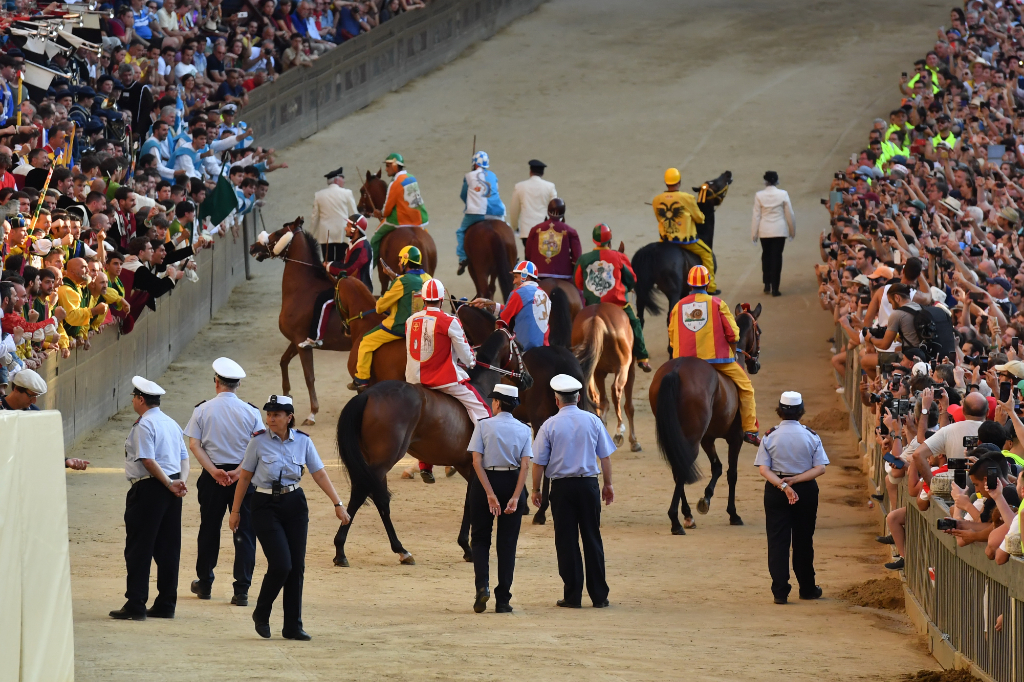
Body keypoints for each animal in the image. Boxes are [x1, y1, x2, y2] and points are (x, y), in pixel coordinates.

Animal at [250, 215, 352, 421]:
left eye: (278, 233)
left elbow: (309, 376)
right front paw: (286, 395)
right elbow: (283, 361)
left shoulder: (302, 343)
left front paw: (313, 412)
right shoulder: (297, 341)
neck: (303, 289)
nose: (253, 247)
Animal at [333, 323, 532, 561]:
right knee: (363, 493)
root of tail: (368, 394)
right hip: (384, 460)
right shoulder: (475, 465)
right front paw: (467, 547)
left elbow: (470, 501)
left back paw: (399, 550)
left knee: (378, 498)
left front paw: (465, 545)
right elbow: (472, 501)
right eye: (519, 346)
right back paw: (343, 549)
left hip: (373, 463)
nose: (528, 379)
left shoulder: (465, 465)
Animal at [573, 303, 634, 450]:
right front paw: (634, 441)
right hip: (622, 367)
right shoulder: (630, 368)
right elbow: (629, 405)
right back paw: (619, 431)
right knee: (615, 389)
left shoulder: (597, 371)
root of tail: (596, 318)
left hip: (596, 369)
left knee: (600, 398)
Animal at [647, 303, 761, 532]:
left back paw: (687, 515)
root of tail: (676, 369)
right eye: (759, 331)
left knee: (678, 467)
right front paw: (733, 513)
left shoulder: (707, 438)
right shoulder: (735, 437)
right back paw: (676, 521)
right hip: (692, 437)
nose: (756, 365)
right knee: (683, 467)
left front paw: (705, 500)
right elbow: (732, 473)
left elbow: (717, 467)